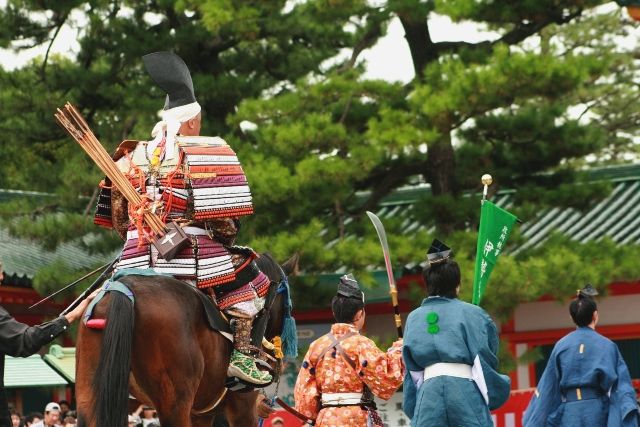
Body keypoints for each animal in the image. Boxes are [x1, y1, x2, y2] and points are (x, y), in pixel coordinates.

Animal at [75, 254, 298, 427]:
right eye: (288, 305)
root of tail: (123, 288)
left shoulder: (201, 414)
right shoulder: (243, 406)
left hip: (89, 391)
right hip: (174, 401)